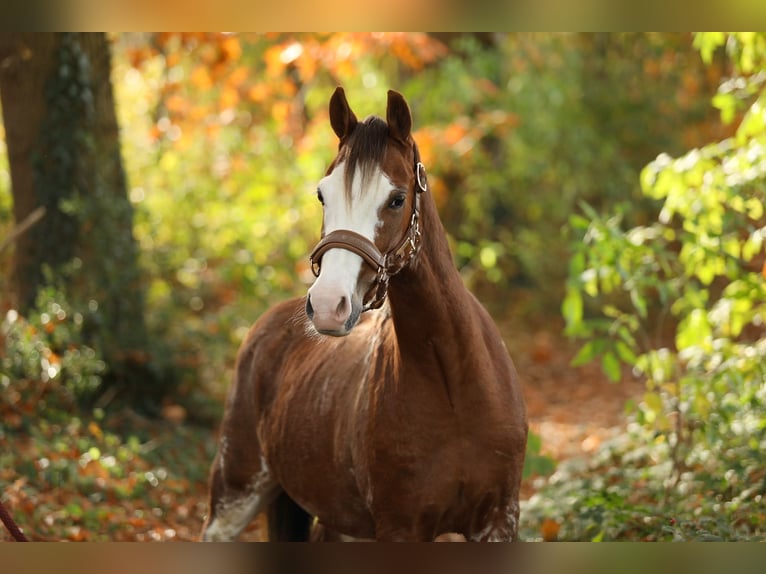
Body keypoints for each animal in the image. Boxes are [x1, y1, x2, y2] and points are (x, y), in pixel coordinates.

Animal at [200, 87, 528, 542]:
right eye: (323, 194)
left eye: (397, 198)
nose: (327, 304)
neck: (453, 386)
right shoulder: (400, 526)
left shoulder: (497, 521)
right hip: (235, 494)